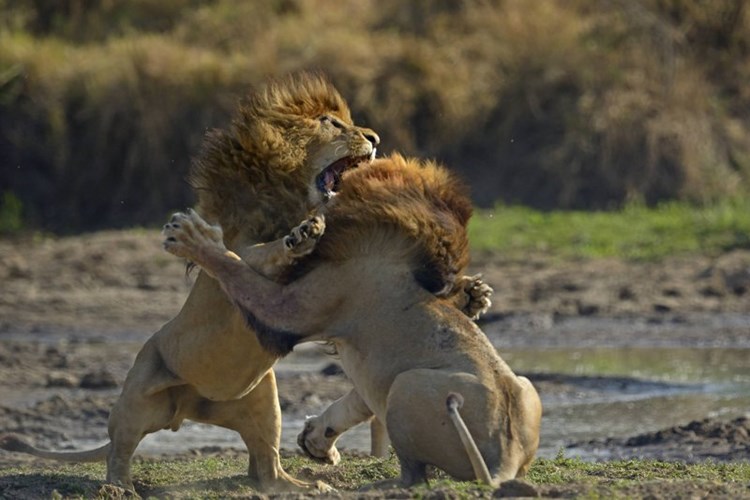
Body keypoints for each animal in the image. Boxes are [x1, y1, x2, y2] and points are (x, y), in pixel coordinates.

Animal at [0, 73, 494, 492]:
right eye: (332, 123)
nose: (374, 139)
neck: (293, 201)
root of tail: (189, 407)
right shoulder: (251, 260)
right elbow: (253, 254)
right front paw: (299, 237)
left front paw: (472, 294)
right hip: (136, 398)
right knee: (119, 450)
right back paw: (118, 487)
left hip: (263, 403)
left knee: (266, 468)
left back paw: (304, 486)